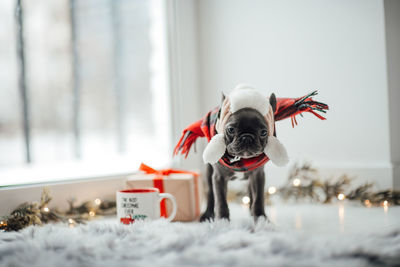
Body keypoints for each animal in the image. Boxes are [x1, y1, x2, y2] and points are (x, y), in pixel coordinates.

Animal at [199, 94, 276, 222]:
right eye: (230, 129)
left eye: (264, 132)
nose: (247, 137)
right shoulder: (219, 177)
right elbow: (221, 200)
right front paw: (222, 220)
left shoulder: (258, 176)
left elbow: (259, 198)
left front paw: (261, 219)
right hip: (208, 173)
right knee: (210, 193)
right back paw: (207, 214)